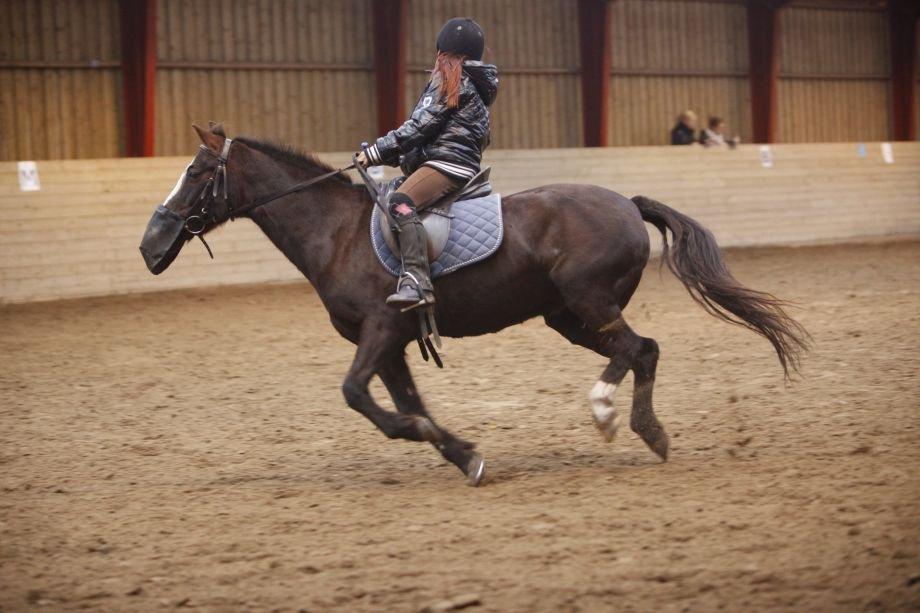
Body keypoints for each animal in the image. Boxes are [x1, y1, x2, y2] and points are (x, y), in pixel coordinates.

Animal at [140, 124, 808, 486]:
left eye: (197, 172)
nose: (149, 246)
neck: (337, 233)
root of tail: (625, 201)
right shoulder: (391, 342)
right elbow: (408, 403)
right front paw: (463, 454)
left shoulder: (381, 328)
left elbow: (358, 396)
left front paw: (440, 442)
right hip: (567, 315)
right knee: (642, 350)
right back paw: (643, 429)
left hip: (587, 299)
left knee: (635, 349)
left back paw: (609, 414)